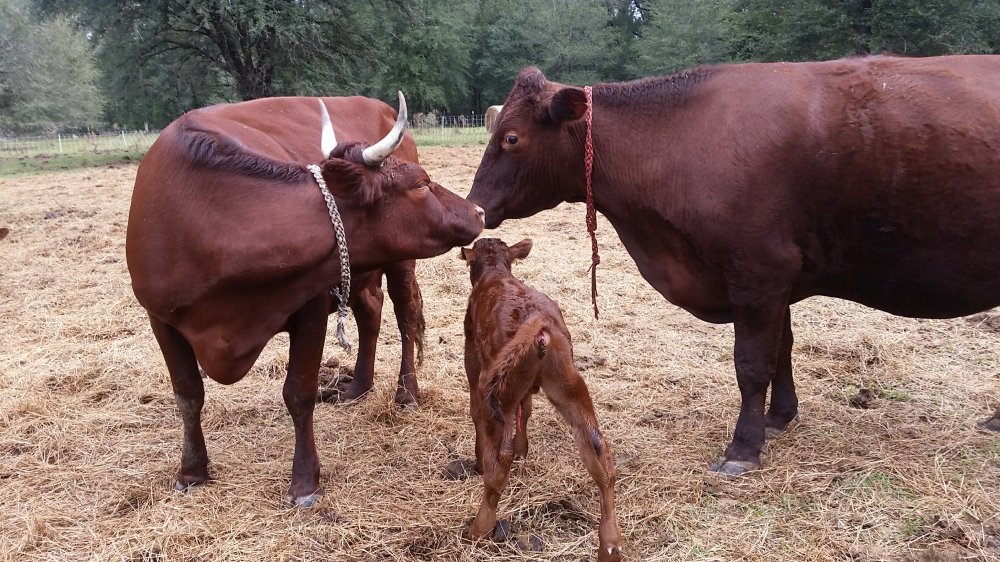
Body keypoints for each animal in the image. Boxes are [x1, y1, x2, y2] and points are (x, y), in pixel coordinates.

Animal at [126, 93, 484, 506]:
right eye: (422, 184)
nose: (478, 210)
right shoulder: (160, 318)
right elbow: (187, 394)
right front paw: (192, 470)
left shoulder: (310, 304)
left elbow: (298, 393)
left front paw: (304, 482)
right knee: (370, 312)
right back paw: (358, 387)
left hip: (400, 262)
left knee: (405, 315)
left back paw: (406, 393)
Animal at [460, 238, 621, 562]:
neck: (495, 272)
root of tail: (538, 321)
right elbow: (528, 408)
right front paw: (524, 449)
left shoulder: (472, 356)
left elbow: (476, 413)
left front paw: (481, 459)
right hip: (567, 383)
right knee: (599, 449)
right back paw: (610, 544)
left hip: (497, 389)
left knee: (500, 459)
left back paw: (479, 529)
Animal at [467, 56, 1000, 477]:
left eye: (510, 137)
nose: (474, 207)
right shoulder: (778, 280)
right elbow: (783, 350)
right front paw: (779, 417)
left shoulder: (759, 272)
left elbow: (752, 363)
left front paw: (744, 447)